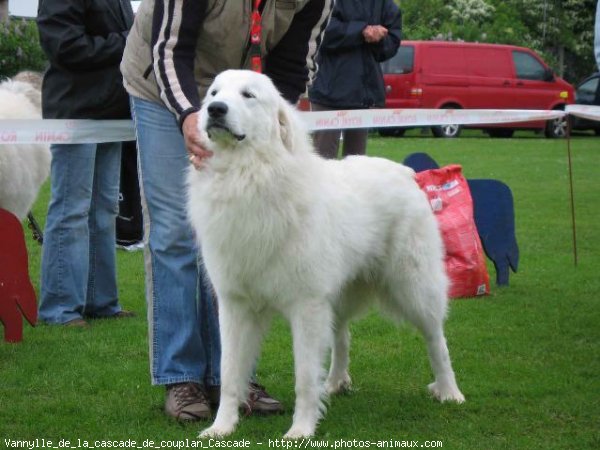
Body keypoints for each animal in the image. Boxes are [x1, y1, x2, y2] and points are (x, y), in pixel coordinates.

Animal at [188, 70, 464, 440]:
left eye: (248, 95)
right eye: (214, 94)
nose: (215, 110)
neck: (248, 175)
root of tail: (405, 172)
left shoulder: (305, 305)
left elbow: (304, 377)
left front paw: (301, 430)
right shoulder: (236, 305)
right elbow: (230, 372)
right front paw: (222, 427)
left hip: (414, 287)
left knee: (436, 339)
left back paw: (449, 391)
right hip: (339, 293)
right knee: (341, 335)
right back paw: (335, 383)